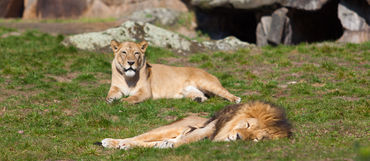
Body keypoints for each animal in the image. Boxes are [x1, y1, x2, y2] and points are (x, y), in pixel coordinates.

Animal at [100, 102, 292, 150]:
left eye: (256, 139)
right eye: (247, 124)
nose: (238, 137)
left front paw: (169, 145)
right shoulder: (208, 129)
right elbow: (190, 138)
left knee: (148, 144)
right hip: (167, 128)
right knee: (137, 138)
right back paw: (113, 142)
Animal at [105, 39, 241, 104]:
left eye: (136, 53)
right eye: (124, 52)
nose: (131, 62)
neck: (128, 78)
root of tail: (209, 73)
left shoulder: (145, 92)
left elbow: (133, 97)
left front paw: (124, 101)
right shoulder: (115, 88)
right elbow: (110, 95)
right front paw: (110, 100)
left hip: (206, 83)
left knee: (225, 92)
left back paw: (236, 99)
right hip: (190, 91)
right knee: (203, 96)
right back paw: (198, 99)